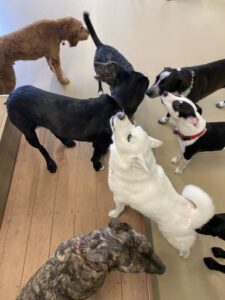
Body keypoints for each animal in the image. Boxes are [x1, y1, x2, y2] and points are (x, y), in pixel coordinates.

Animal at [6, 71, 149, 172]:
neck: (117, 103)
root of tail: (11, 96)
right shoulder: (99, 143)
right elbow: (95, 157)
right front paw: (97, 165)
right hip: (28, 133)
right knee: (41, 148)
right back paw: (51, 164)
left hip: (52, 122)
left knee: (55, 131)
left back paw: (67, 142)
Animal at [108, 112, 215, 258]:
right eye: (134, 125)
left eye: (129, 137)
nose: (121, 114)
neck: (131, 167)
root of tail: (192, 219)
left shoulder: (118, 199)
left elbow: (118, 209)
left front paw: (114, 214)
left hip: (172, 238)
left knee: (186, 248)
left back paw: (183, 254)